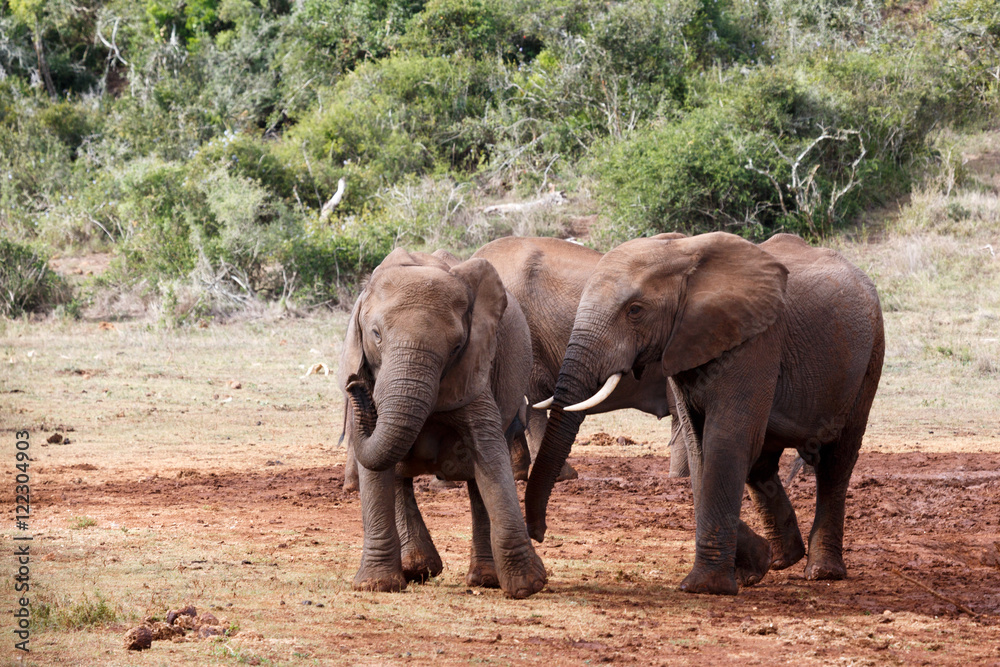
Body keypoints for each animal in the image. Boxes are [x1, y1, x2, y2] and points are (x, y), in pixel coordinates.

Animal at [338, 247, 547, 599]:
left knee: (477, 478)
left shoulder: (476, 368)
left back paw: (484, 579)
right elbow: (376, 470)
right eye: (376, 335)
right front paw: (377, 586)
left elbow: (489, 455)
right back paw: (418, 569)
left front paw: (528, 586)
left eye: (457, 346)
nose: (356, 384)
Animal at [526, 232, 884, 595]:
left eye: (635, 311)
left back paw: (822, 572)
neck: (683, 254)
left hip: (871, 353)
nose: (538, 534)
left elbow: (725, 443)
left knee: (835, 462)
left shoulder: (756, 342)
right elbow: (700, 449)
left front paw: (705, 587)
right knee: (761, 464)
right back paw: (784, 559)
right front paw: (754, 566)